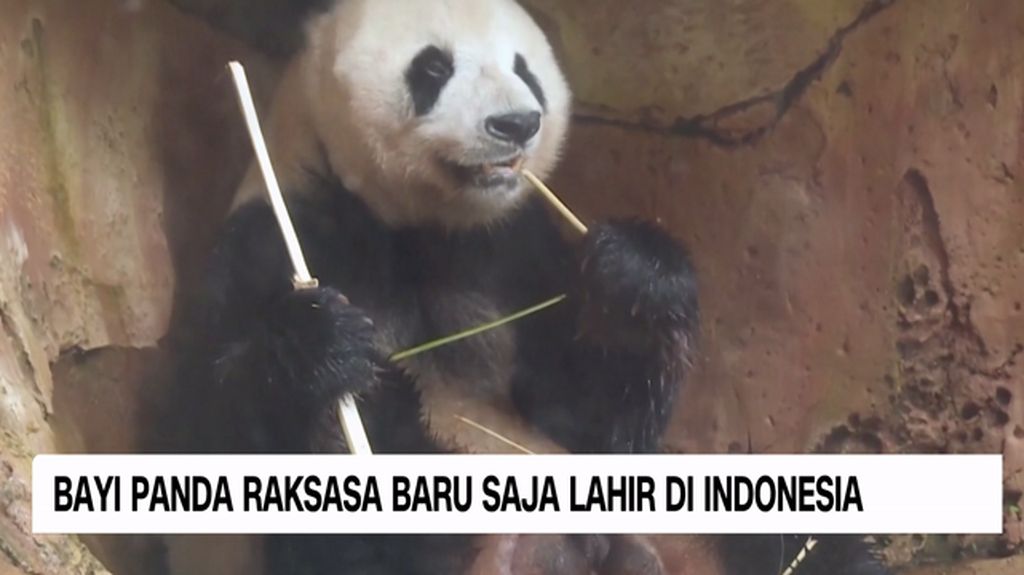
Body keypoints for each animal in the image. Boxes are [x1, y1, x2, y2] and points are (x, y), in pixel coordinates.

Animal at [164, 0, 892, 574]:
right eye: (433, 68)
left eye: (524, 68)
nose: (517, 123)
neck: (416, 225)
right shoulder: (275, 235)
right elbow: (216, 423)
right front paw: (324, 351)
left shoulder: (512, 251)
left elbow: (587, 413)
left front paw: (635, 283)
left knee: (789, 540)